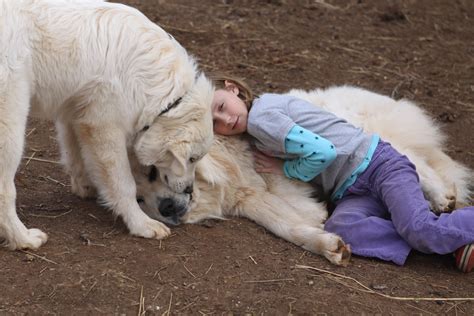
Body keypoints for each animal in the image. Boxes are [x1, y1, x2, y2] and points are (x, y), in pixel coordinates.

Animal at [0, 1, 214, 251]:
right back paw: (23, 239)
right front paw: (141, 224)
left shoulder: (76, 115)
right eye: (191, 159)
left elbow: (77, 158)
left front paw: (87, 187)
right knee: (5, 191)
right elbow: (124, 185)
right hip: (11, 130)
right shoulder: (104, 127)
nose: (190, 190)